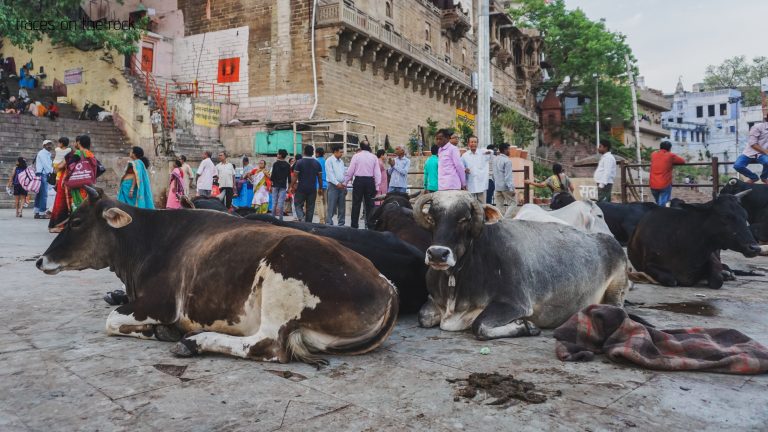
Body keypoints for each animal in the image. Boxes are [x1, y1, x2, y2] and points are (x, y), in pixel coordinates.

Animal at [36, 187, 398, 366]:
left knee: (267, 346)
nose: (40, 260)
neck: (148, 241)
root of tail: (386, 284)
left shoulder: (161, 302)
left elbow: (111, 320)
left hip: (284, 275)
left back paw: (193, 342)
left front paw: (158, 331)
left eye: (77, 221)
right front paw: (159, 330)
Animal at [413, 191, 630, 340]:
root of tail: (609, 239)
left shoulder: (515, 303)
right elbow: (423, 317)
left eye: (464, 219)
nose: (438, 254)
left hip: (617, 285)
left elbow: (479, 326)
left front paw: (526, 326)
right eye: (432, 217)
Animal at [628, 192, 761, 289]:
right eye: (725, 216)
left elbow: (717, 279)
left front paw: (722, 274)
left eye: (745, 216)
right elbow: (671, 280)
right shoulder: (647, 265)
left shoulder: (711, 256)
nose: (755, 248)